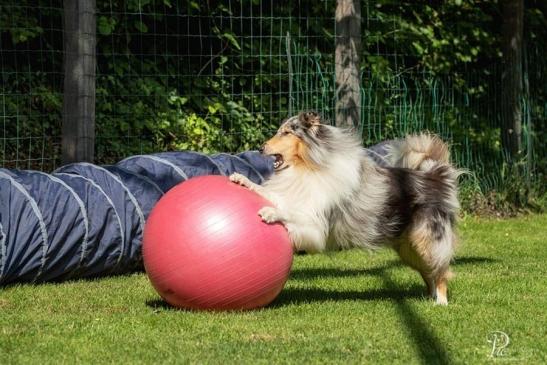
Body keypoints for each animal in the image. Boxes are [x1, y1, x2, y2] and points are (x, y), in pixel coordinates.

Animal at [231, 111, 462, 304]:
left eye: (287, 133)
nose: (261, 148)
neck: (309, 167)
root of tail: (437, 177)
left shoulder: (317, 225)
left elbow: (293, 213)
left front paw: (271, 212)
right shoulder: (297, 198)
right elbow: (272, 194)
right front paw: (243, 180)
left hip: (427, 240)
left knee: (442, 271)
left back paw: (441, 303)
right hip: (409, 248)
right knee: (430, 272)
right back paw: (429, 298)